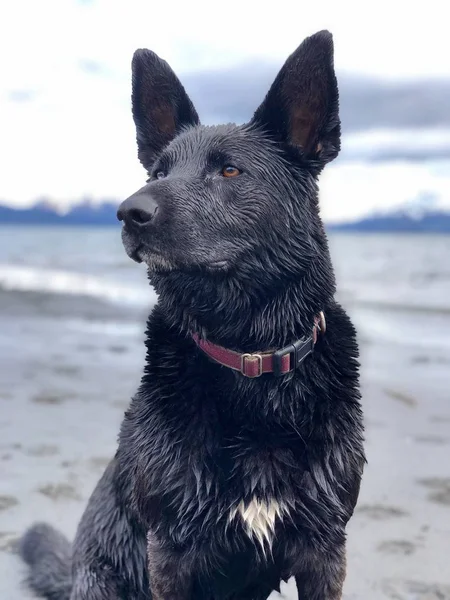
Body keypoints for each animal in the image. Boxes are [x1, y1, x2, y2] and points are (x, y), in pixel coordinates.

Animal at [20, 31, 366, 600]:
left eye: (229, 169)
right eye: (158, 171)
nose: (129, 212)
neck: (250, 356)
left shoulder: (325, 549)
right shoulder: (171, 552)